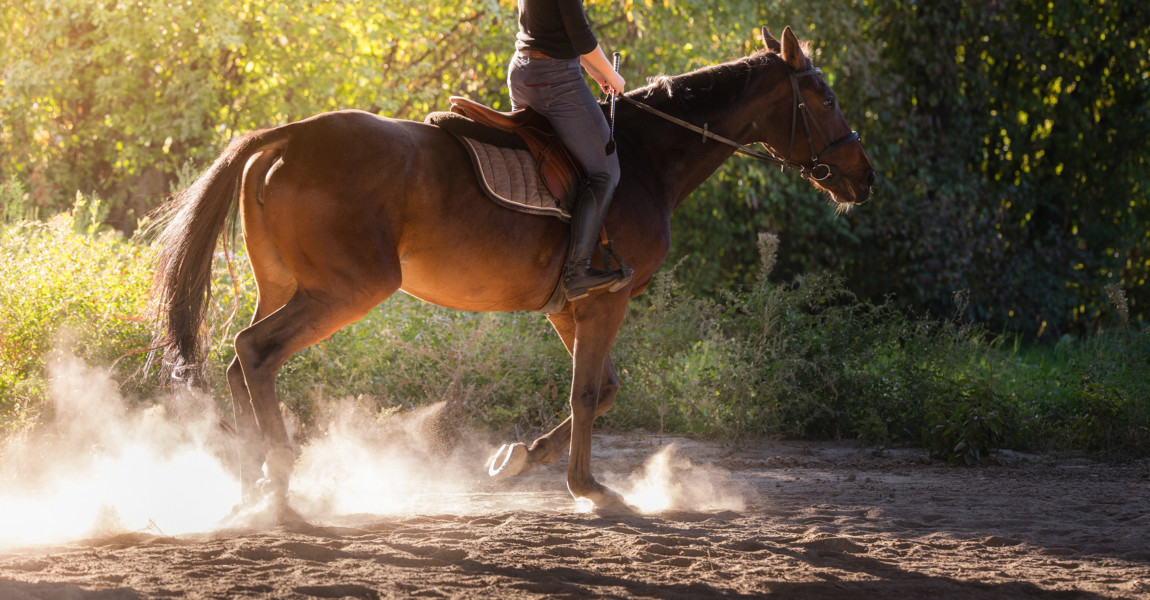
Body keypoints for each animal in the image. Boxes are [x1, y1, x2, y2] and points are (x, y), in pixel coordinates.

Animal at [150, 25, 869, 514]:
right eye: (825, 96)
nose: (864, 178)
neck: (645, 158)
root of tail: (286, 135)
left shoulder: (568, 305)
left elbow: (605, 388)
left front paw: (518, 459)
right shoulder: (605, 300)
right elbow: (587, 392)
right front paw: (588, 488)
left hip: (284, 286)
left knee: (242, 360)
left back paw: (252, 481)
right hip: (343, 290)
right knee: (256, 352)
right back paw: (276, 472)